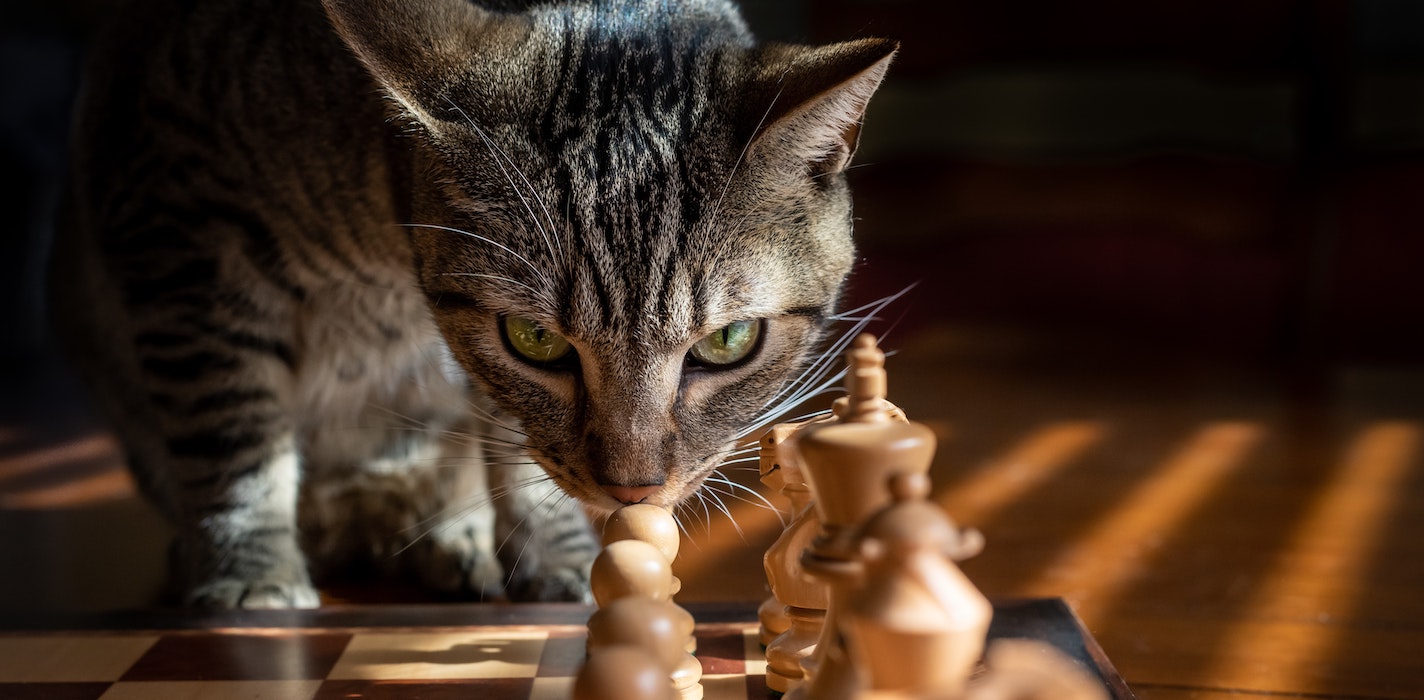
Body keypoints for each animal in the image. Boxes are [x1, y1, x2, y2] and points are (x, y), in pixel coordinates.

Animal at [50, 0, 894, 606]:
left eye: (729, 342)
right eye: (535, 339)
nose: (632, 490)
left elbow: (514, 443)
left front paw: (554, 553)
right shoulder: (178, 224)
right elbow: (232, 436)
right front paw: (249, 572)